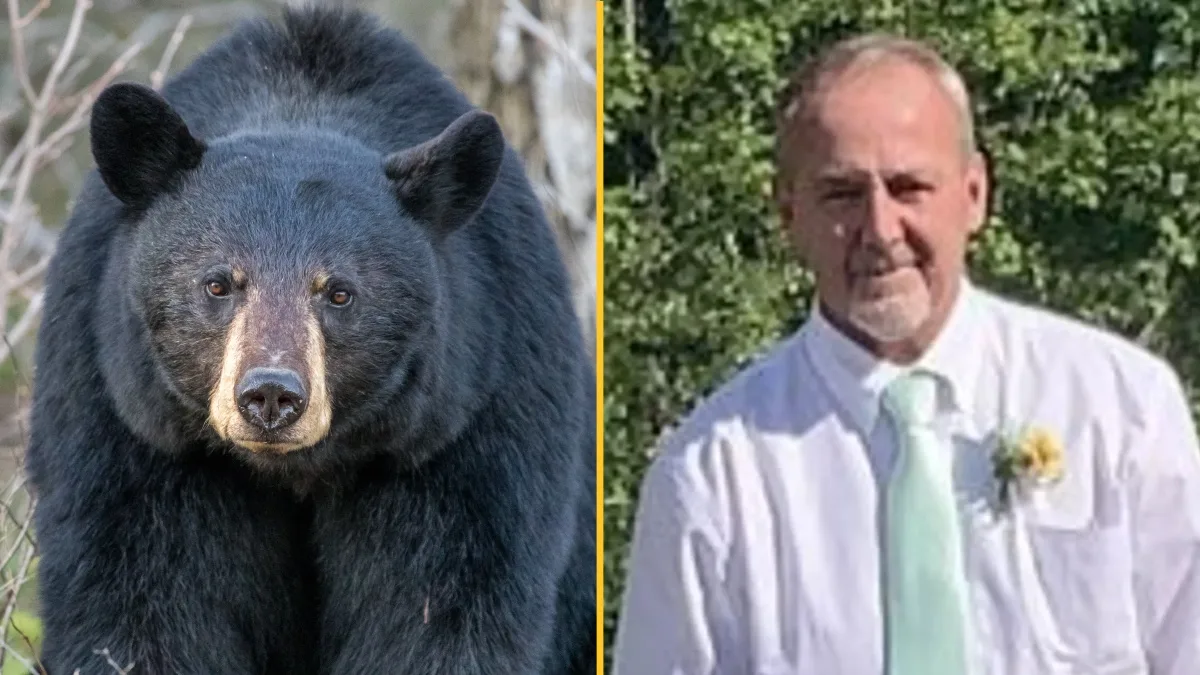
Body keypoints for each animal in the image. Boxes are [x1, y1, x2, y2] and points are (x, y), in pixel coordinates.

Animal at [25, 5, 595, 674]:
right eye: (219, 283)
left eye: (339, 292)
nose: (271, 395)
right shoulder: (127, 422)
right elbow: (136, 597)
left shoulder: (464, 425)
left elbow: (444, 608)